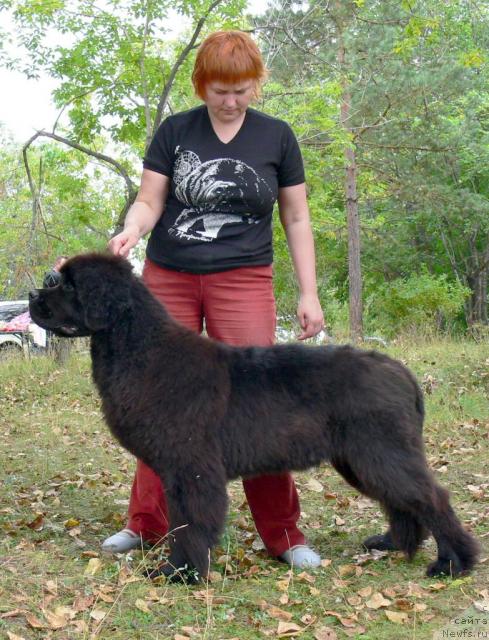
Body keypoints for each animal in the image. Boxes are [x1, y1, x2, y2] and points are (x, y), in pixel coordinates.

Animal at [28, 254, 478, 580]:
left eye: (68, 284)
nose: (33, 295)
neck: (140, 350)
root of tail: (401, 371)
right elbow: (181, 522)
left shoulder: (192, 469)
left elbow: (191, 524)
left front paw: (179, 573)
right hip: (361, 460)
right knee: (404, 502)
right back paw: (394, 543)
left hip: (380, 453)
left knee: (432, 498)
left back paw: (453, 564)